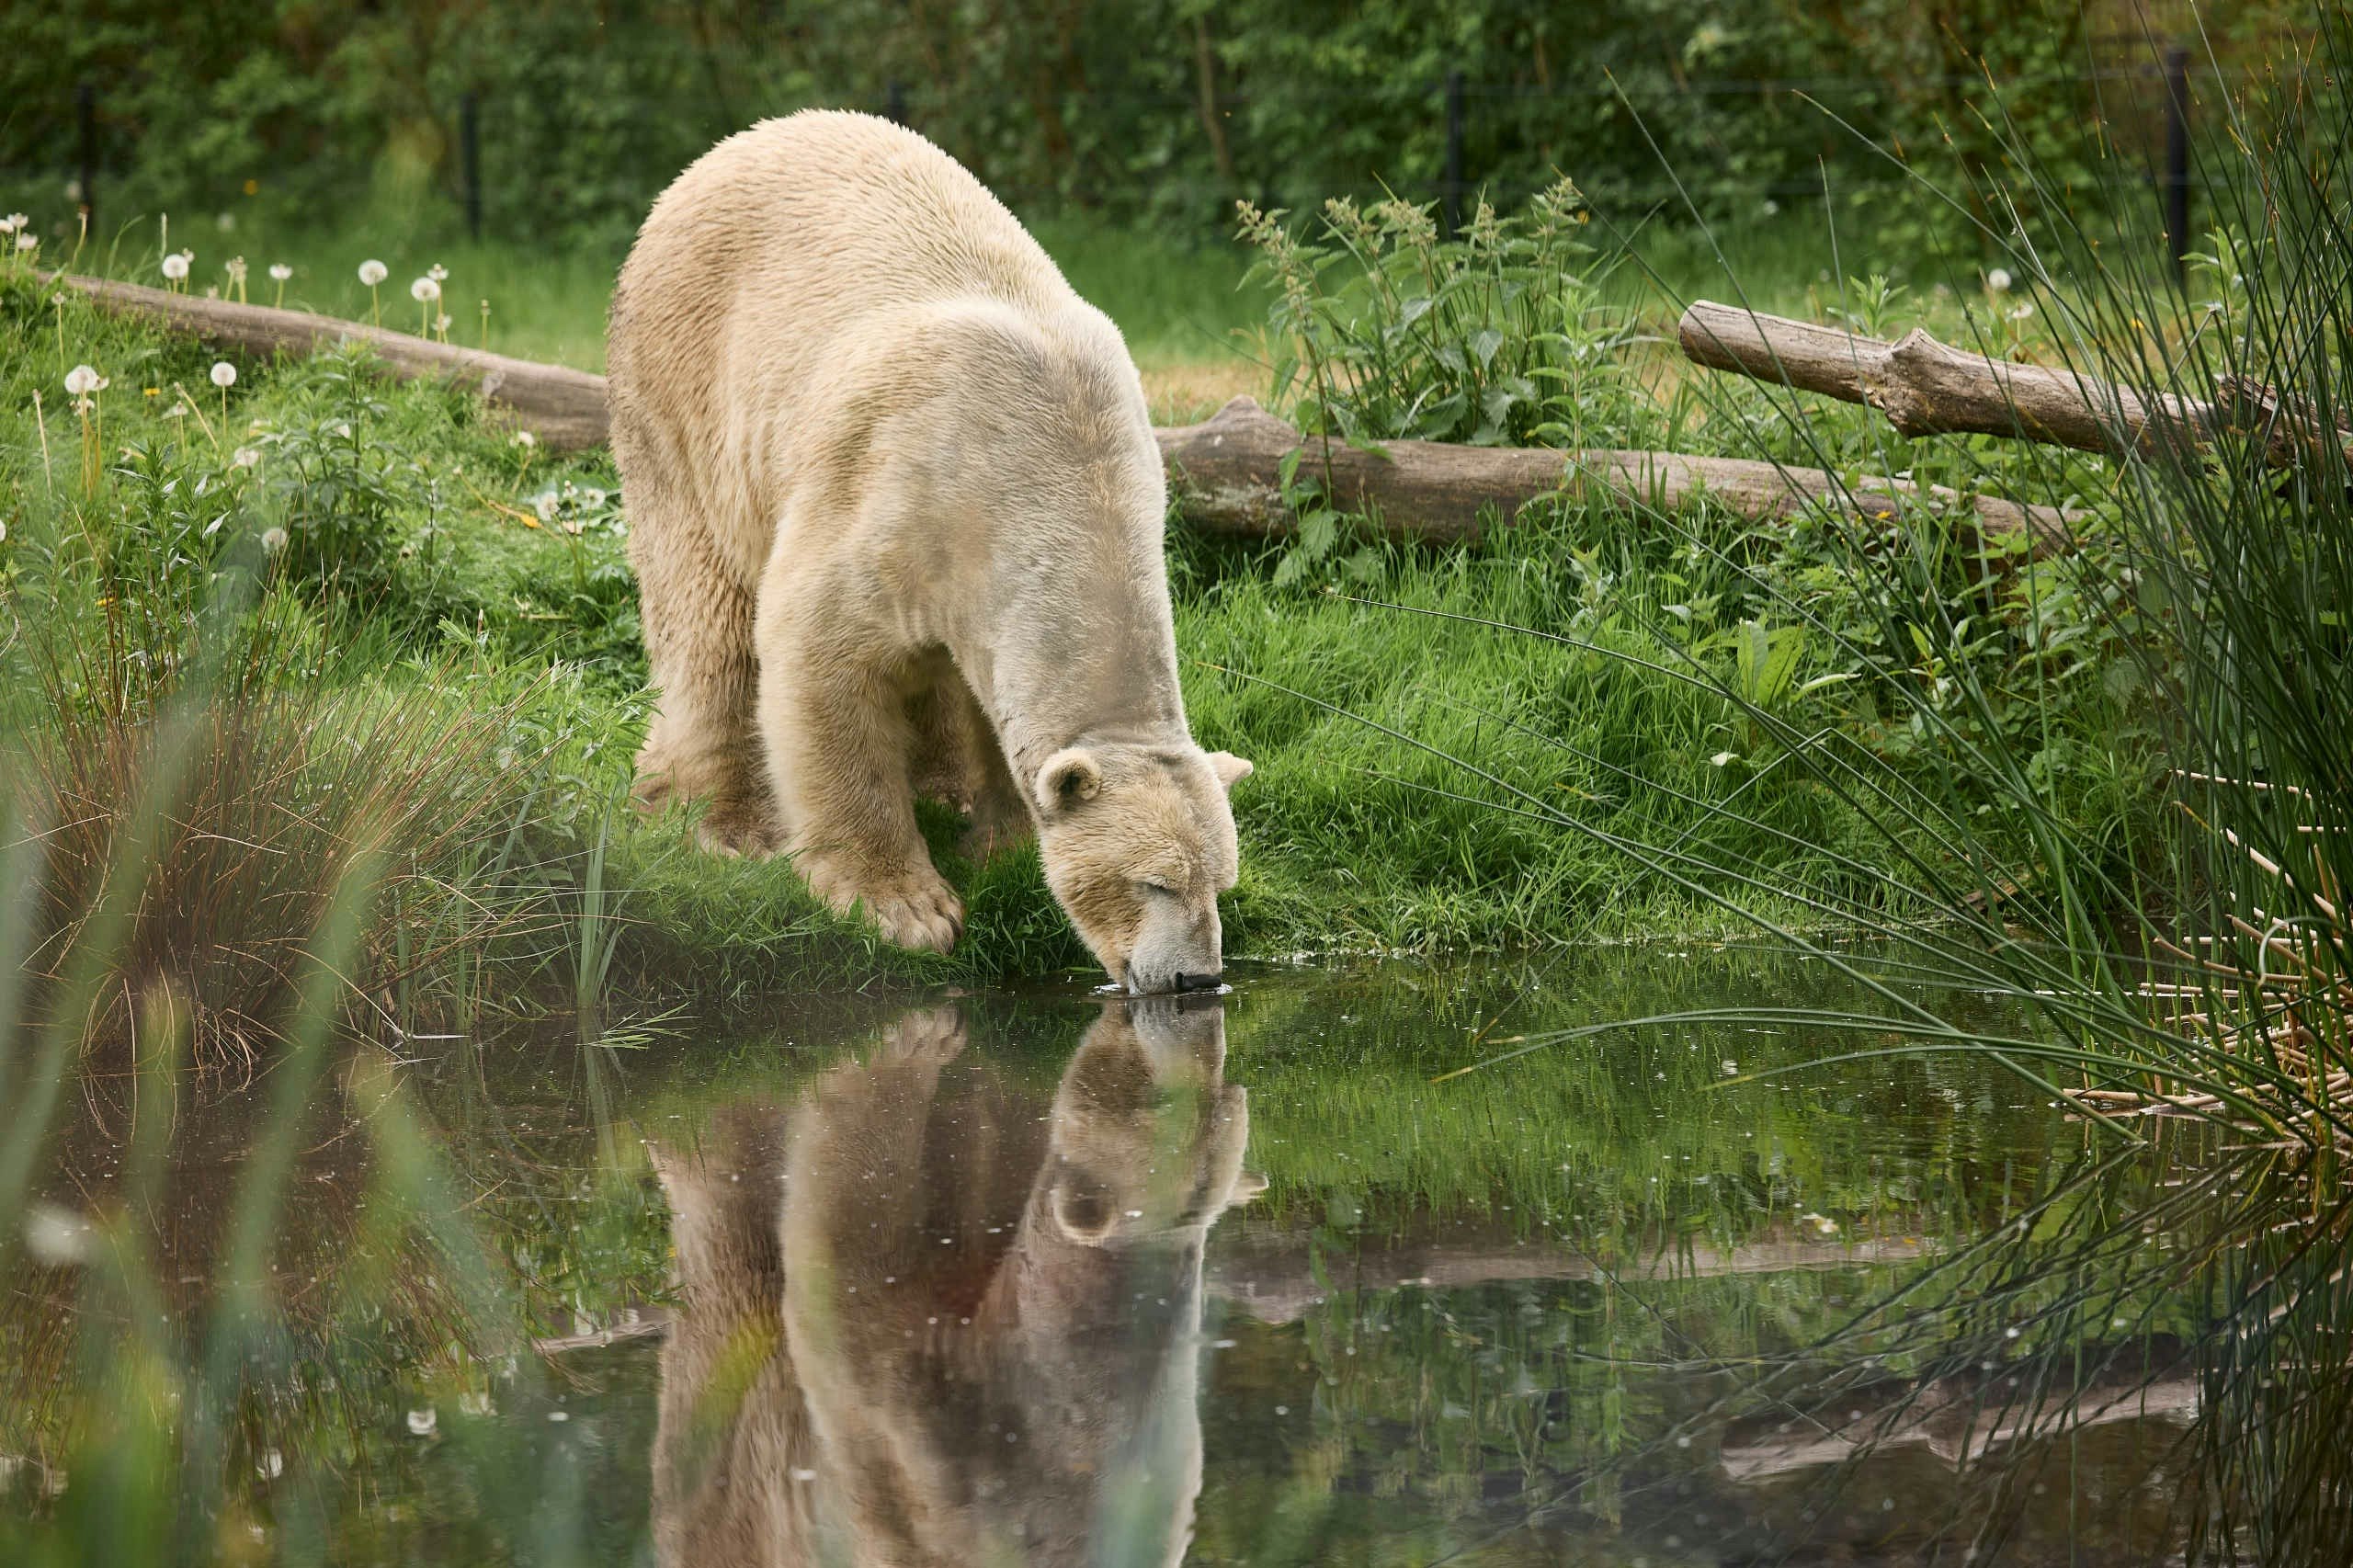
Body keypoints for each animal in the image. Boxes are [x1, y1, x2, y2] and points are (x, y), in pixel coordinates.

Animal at [616, 109, 1261, 983]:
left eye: (1220, 883)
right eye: (1153, 881)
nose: (1196, 977)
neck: (1060, 469)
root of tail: (727, 149)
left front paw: (999, 843)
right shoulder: (896, 490)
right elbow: (819, 655)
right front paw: (907, 907)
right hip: (683, 394)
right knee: (707, 615)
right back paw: (721, 817)